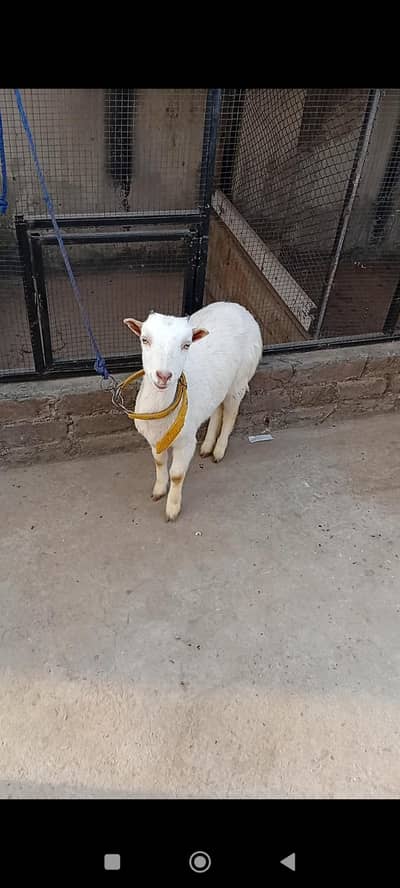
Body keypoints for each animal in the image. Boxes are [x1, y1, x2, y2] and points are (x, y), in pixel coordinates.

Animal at [123, 301, 263, 521]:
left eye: (187, 345)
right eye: (145, 339)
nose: (164, 376)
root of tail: (238, 307)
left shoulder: (186, 441)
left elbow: (177, 475)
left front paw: (172, 509)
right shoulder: (154, 439)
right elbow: (159, 463)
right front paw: (159, 490)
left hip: (240, 380)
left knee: (230, 414)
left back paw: (218, 450)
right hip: (219, 386)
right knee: (217, 409)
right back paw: (207, 446)